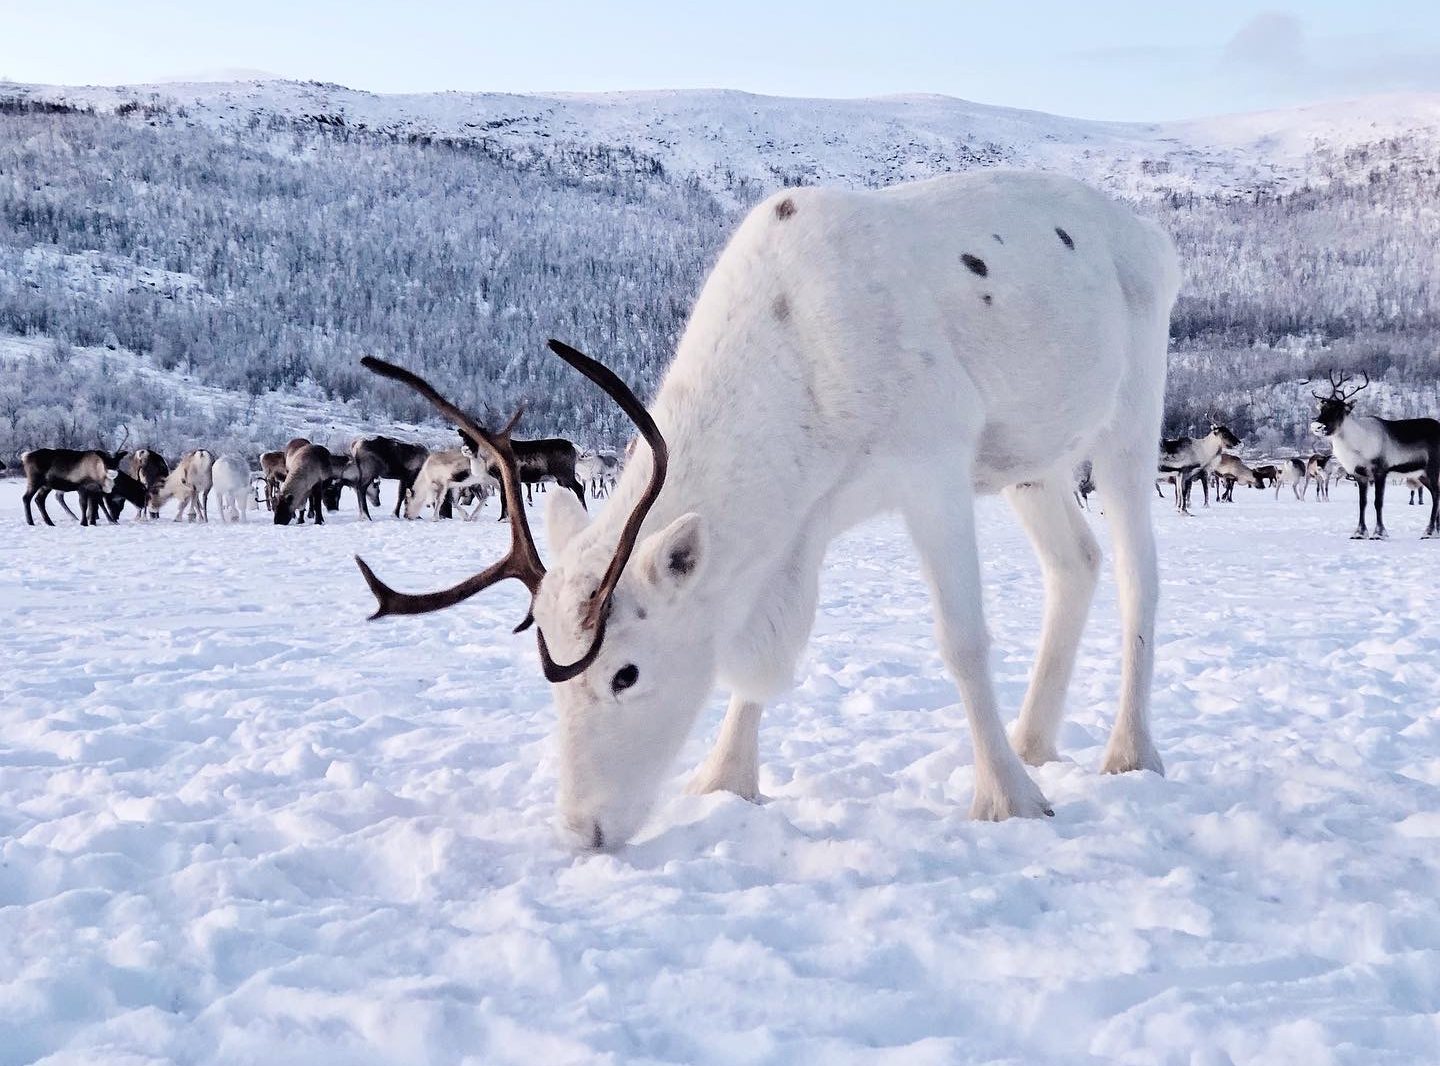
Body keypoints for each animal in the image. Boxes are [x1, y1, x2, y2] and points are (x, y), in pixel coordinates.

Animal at [353, 172, 1180, 851]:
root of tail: (1155, 238)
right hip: (1031, 462)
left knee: (1140, 575)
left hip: (1129, 417)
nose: (582, 830)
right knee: (1076, 563)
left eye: (626, 673)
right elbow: (759, 659)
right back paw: (1035, 738)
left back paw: (1128, 749)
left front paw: (1008, 798)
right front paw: (725, 779)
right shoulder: (800, 529)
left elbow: (962, 643)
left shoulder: (935, 465)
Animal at [1311, 370, 1440, 538]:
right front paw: (1359, 533)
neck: (1357, 446)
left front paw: (1379, 533)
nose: (1316, 426)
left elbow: (1378, 502)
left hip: (1432, 468)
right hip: (1421, 474)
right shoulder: (1359, 475)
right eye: (1322, 409)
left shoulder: (1380, 471)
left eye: (1339, 410)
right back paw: (1435, 530)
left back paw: (1429, 531)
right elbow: (1363, 503)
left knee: (1436, 495)